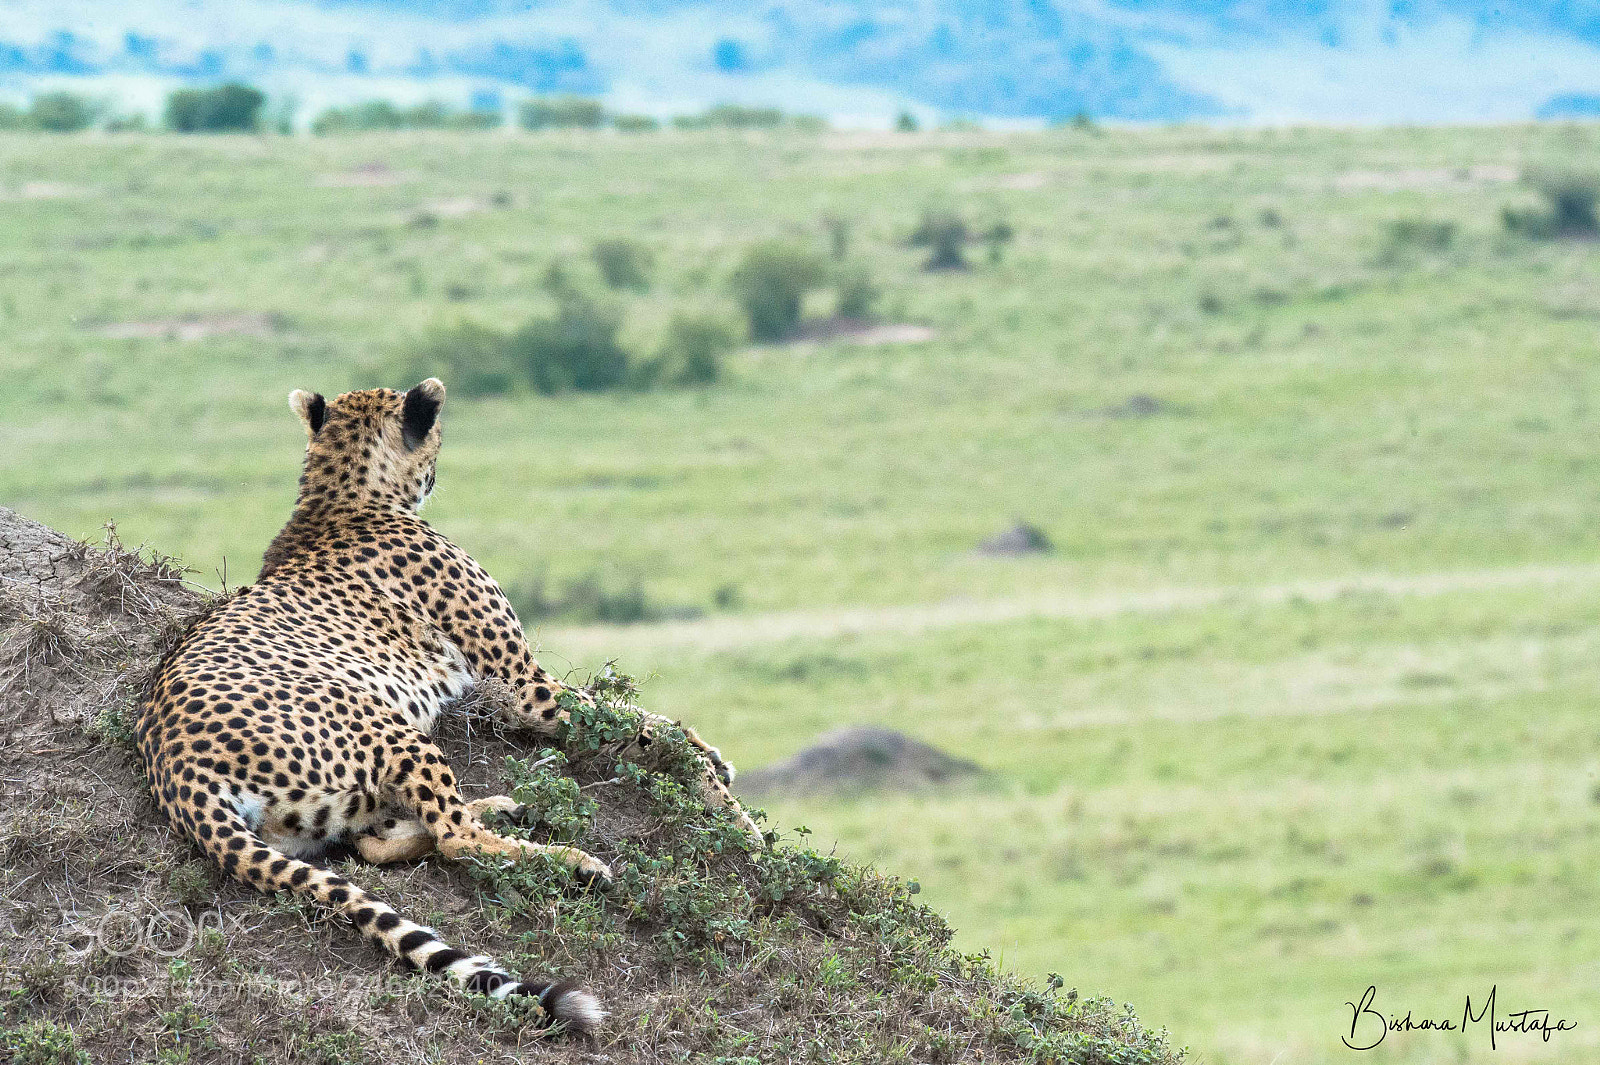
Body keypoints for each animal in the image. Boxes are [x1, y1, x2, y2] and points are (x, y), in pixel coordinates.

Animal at [134, 378, 761, 1035]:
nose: (439, 468)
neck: (342, 495)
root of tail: (173, 767)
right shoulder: (523, 686)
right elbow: (643, 727)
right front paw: (723, 796)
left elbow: (642, 720)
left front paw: (714, 761)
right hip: (386, 725)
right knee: (456, 837)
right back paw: (570, 861)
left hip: (327, 807)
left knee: (379, 842)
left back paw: (505, 806)